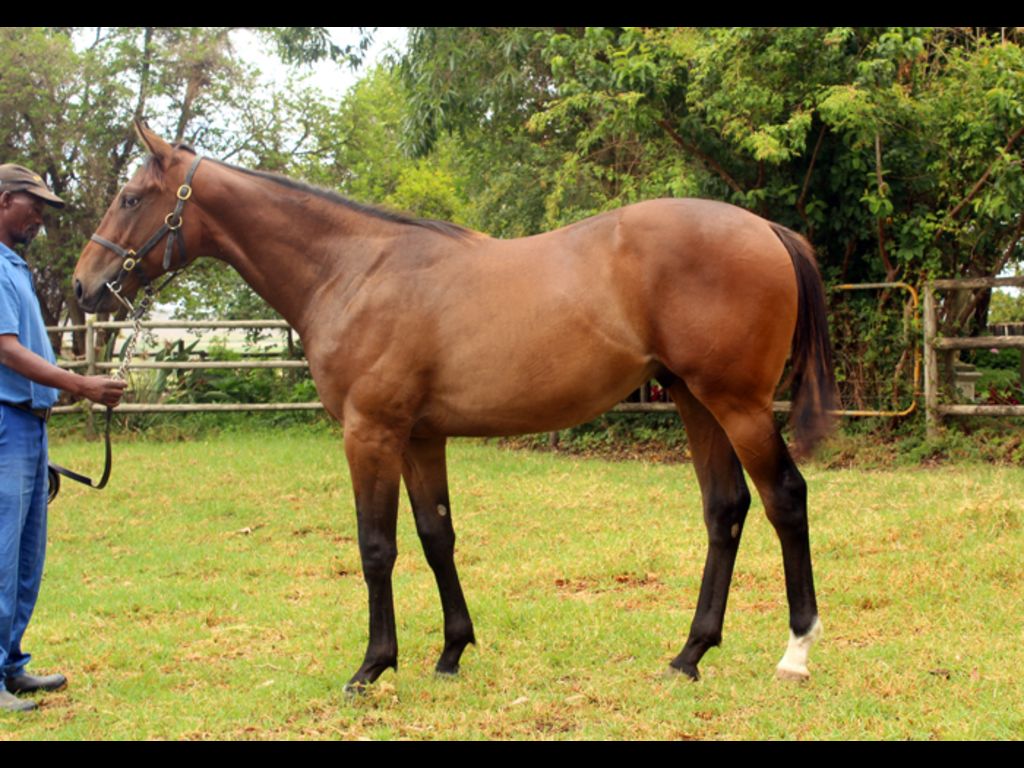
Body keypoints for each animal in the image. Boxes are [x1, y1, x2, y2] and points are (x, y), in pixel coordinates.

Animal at [73, 121, 836, 690]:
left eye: (132, 196)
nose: (84, 286)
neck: (354, 270)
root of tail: (767, 229)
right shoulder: (419, 437)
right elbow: (435, 536)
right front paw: (450, 653)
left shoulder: (370, 433)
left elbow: (376, 546)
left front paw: (372, 667)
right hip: (695, 402)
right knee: (725, 510)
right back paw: (689, 655)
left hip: (736, 404)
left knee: (785, 498)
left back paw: (796, 651)